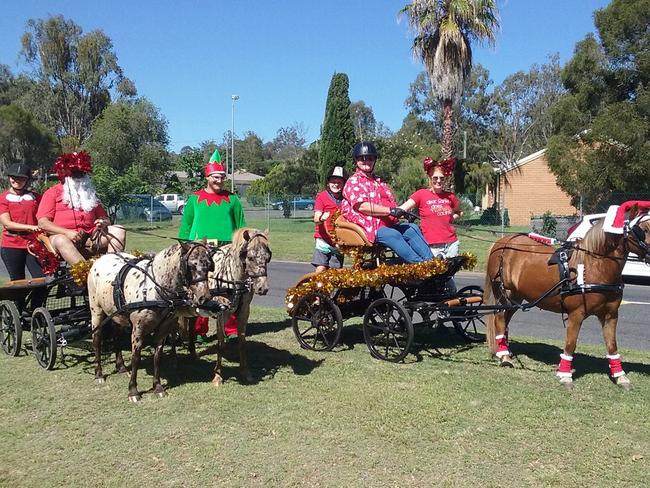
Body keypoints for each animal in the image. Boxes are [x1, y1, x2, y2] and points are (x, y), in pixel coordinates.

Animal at [86, 242, 211, 402]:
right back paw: (99, 374)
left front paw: (158, 387)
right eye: (191, 265)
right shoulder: (138, 330)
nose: (204, 297)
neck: (155, 289)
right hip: (96, 311)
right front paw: (133, 391)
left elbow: (157, 357)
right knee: (96, 340)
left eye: (209, 265)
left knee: (116, 337)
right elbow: (136, 358)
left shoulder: (163, 329)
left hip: (117, 314)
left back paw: (121, 366)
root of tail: (101, 258)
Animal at [205, 228, 270, 386]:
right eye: (250, 258)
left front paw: (246, 372)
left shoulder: (244, 310)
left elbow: (242, 343)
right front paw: (217, 376)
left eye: (267, 257)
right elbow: (220, 345)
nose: (263, 288)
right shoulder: (221, 312)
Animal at [480, 210, 648, 388]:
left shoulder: (610, 315)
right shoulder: (576, 314)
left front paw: (620, 376)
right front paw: (565, 375)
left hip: (516, 297)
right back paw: (505, 356)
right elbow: (570, 343)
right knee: (499, 319)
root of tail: (502, 242)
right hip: (504, 293)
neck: (594, 267)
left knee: (505, 320)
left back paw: (504, 350)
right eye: (643, 230)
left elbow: (612, 345)